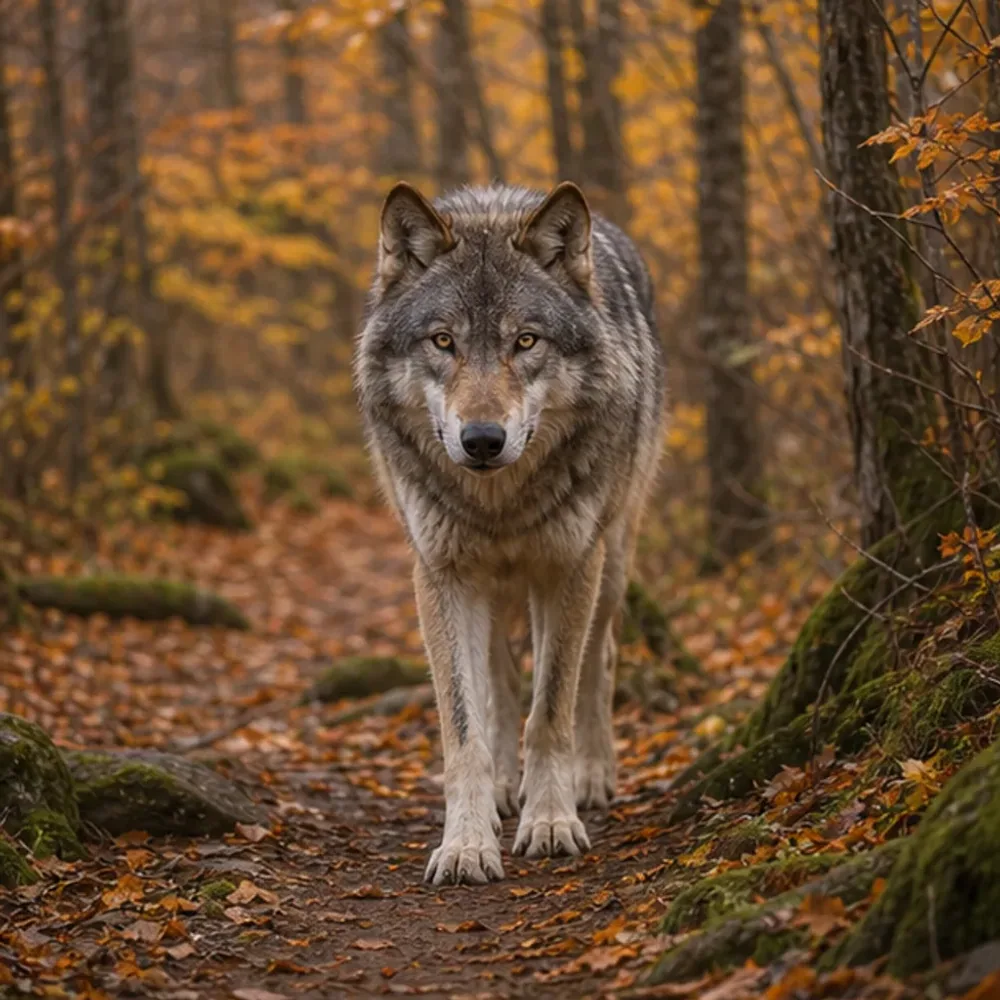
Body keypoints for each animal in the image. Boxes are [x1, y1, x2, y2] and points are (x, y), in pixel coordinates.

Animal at [354, 181, 666, 885]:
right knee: (497, 682)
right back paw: (500, 787)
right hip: (487, 589)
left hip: (612, 562)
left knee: (600, 661)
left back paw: (592, 776)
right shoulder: (440, 575)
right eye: (443, 341)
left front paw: (550, 821)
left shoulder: (569, 567)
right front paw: (467, 844)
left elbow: (549, 709)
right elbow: (464, 726)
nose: (482, 440)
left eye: (526, 341)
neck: (501, 504)